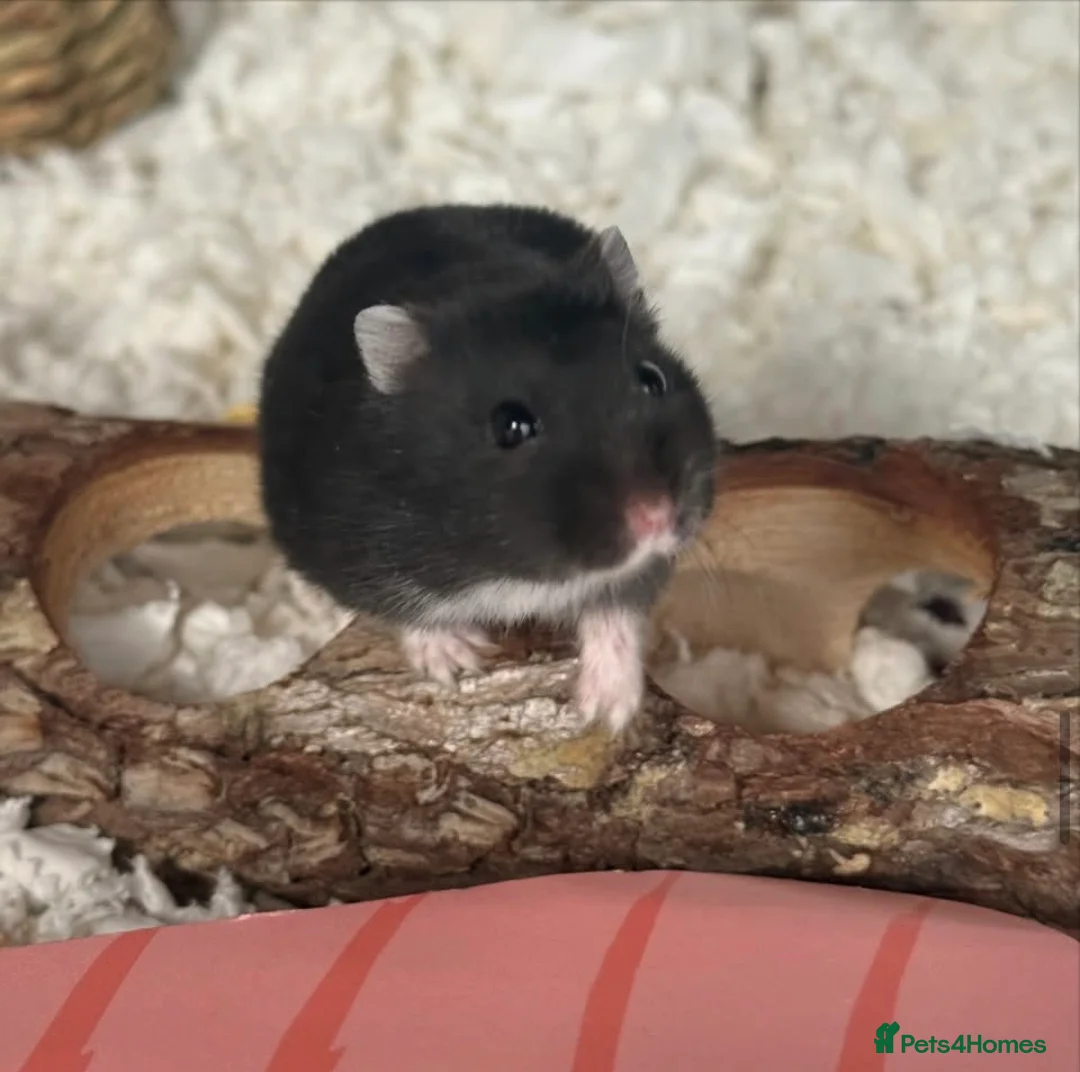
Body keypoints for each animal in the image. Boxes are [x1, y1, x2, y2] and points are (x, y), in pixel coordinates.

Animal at [257, 203, 718, 734]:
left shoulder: (637, 569)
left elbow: (615, 614)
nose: (657, 517)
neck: (518, 573)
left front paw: (607, 713)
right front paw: (459, 661)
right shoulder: (356, 556)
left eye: (652, 379)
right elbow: (406, 611)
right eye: (510, 425)